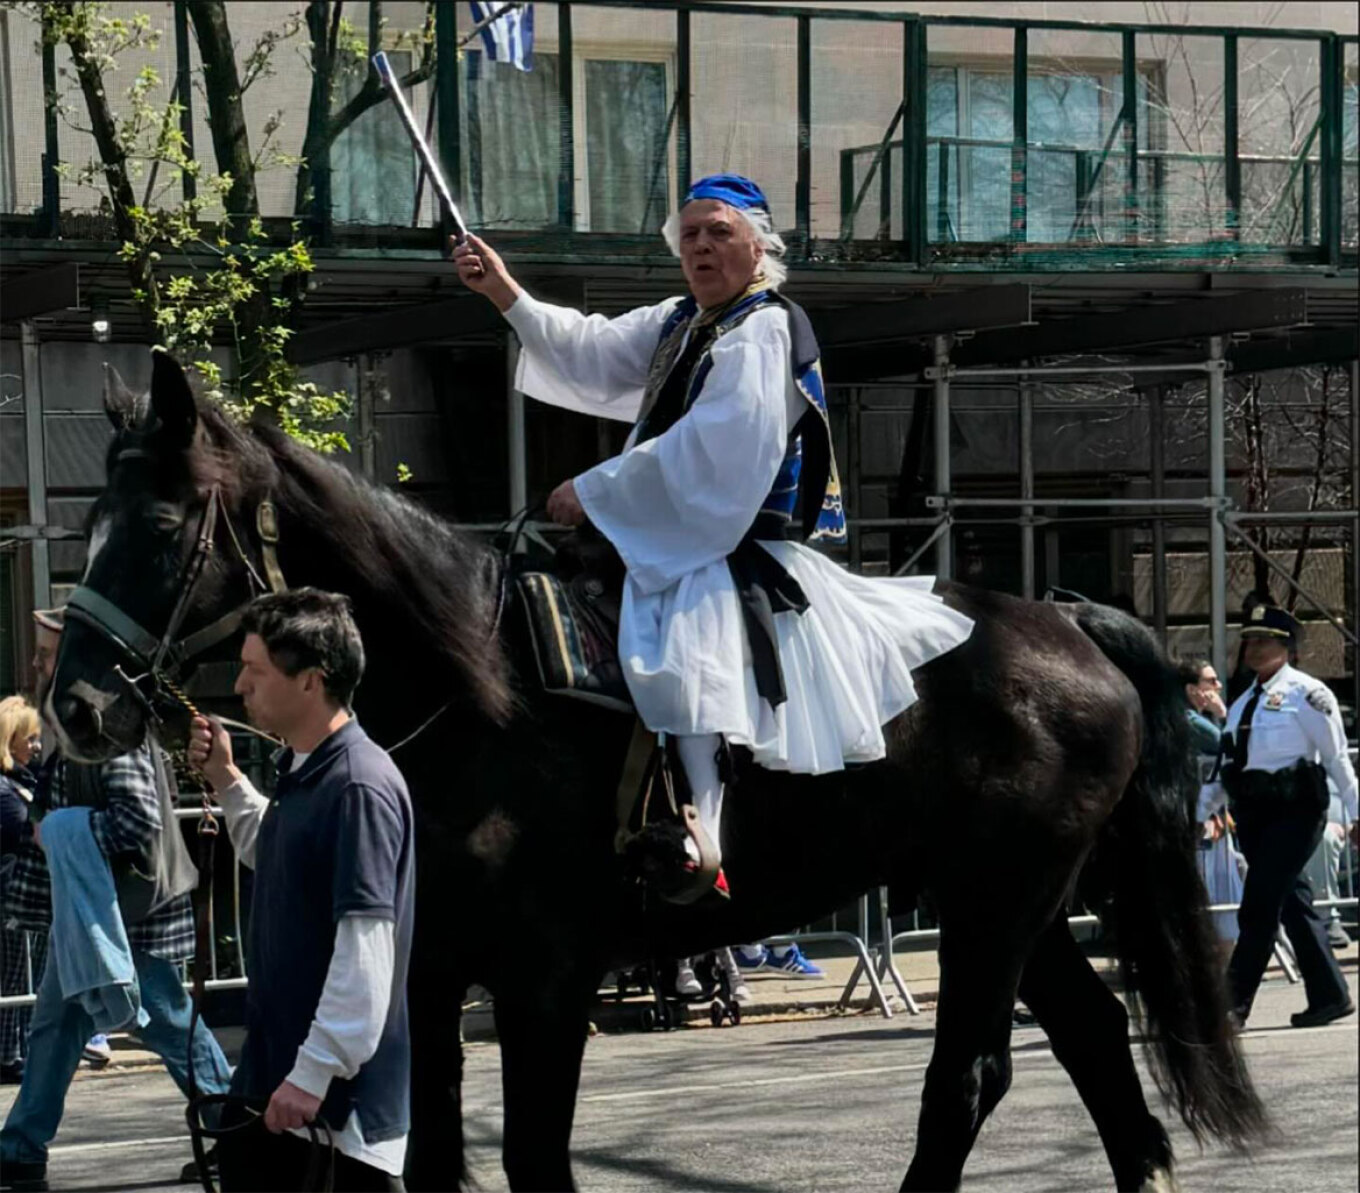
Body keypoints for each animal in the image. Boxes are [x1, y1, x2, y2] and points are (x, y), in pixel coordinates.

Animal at [53, 353, 1262, 1191]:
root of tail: (1068, 621)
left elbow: (535, 1158)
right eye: (88, 519)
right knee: (1094, 1041)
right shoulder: (428, 969)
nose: (74, 705)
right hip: (1017, 906)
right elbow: (439, 1154)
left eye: (159, 523)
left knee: (968, 1076)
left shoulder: (544, 978)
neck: (476, 692)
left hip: (995, 906)